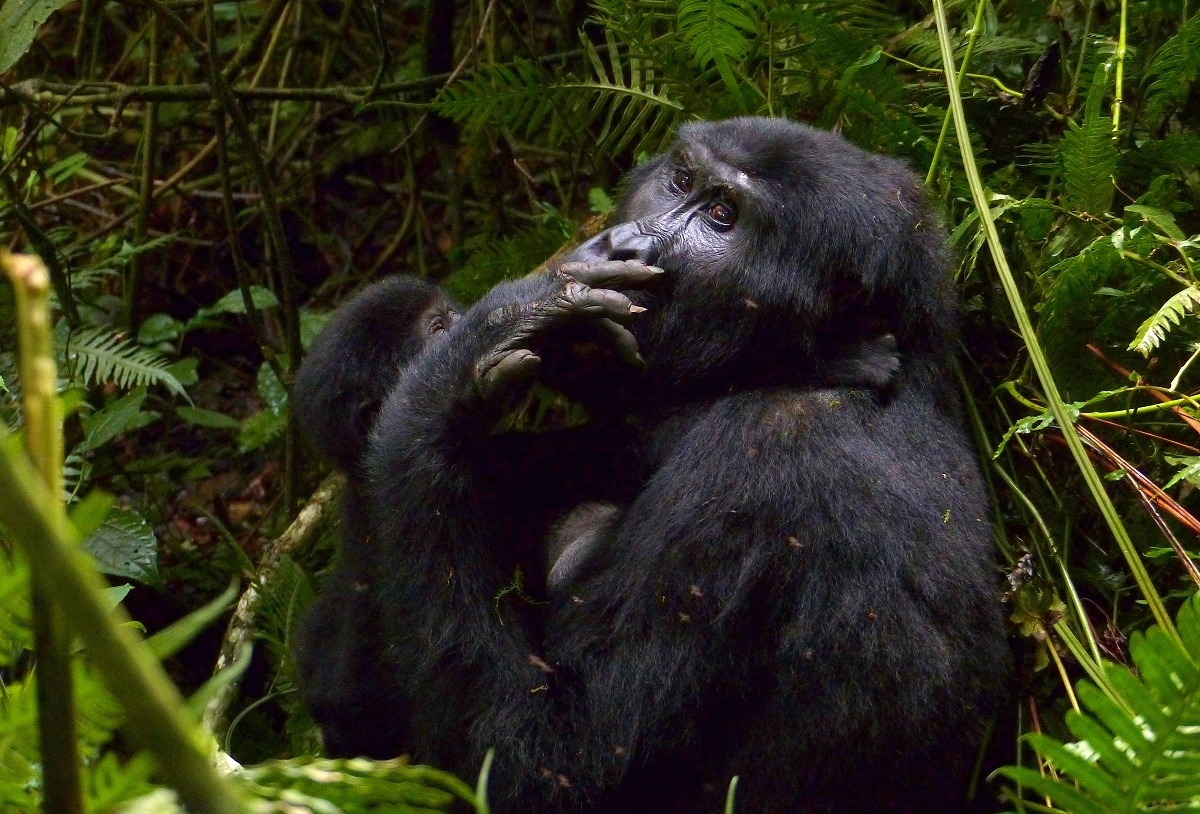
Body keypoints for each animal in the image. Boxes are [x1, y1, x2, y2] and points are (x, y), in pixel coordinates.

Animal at [292, 116, 1012, 814]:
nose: (628, 245)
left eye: (723, 216)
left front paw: (470, 349)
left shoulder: (759, 460)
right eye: (681, 180)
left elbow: (551, 766)